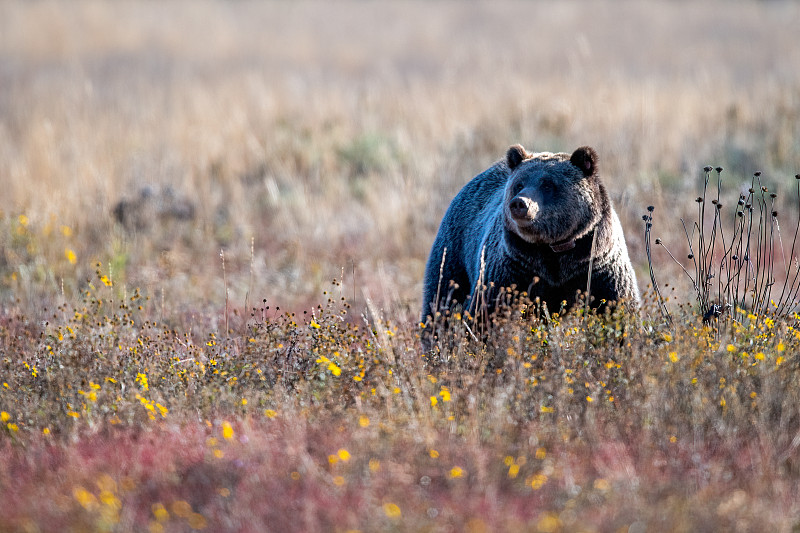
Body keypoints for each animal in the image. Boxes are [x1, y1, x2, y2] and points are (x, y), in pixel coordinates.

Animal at [422, 143, 640, 322]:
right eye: (519, 184)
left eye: (548, 184)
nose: (519, 203)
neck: (554, 249)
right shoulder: (514, 268)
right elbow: (486, 311)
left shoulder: (596, 265)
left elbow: (619, 307)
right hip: (454, 252)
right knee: (443, 297)